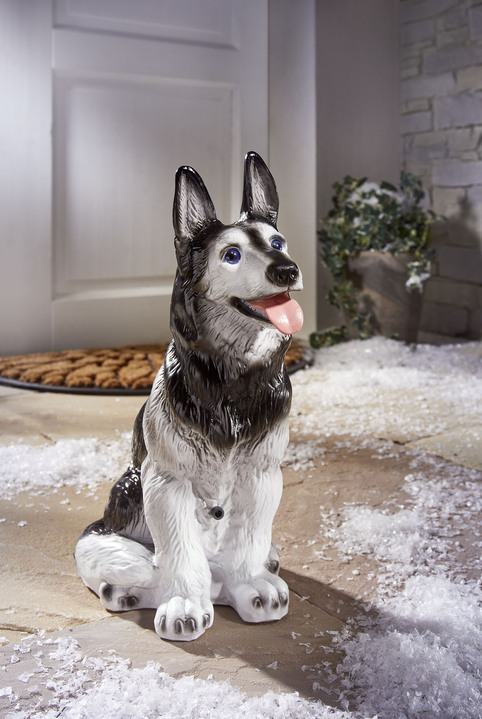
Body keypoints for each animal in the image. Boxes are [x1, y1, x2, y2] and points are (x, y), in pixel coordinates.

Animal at [74, 152, 302, 640]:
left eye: (278, 242)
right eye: (231, 255)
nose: (287, 270)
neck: (231, 383)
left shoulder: (262, 477)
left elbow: (247, 541)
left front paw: (251, 585)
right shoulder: (165, 484)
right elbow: (178, 553)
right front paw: (184, 604)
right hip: (119, 504)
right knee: (140, 563)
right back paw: (129, 591)